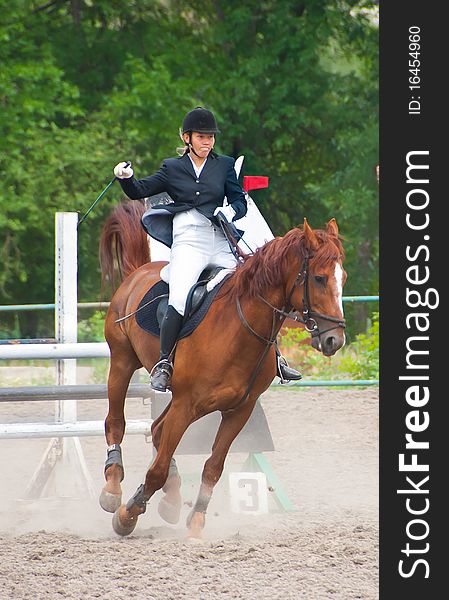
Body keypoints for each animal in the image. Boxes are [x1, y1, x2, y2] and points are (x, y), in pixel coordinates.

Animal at [98, 200, 344, 540]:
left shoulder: (239, 410)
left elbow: (213, 467)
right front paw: (128, 514)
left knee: (158, 431)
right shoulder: (186, 404)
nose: (335, 339)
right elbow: (157, 469)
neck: (239, 329)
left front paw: (196, 523)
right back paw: (112, 490)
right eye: (319, 278)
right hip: (122, 363)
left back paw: (171, 501)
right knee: (116, 423)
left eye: (342, 277)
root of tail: (139, 272)